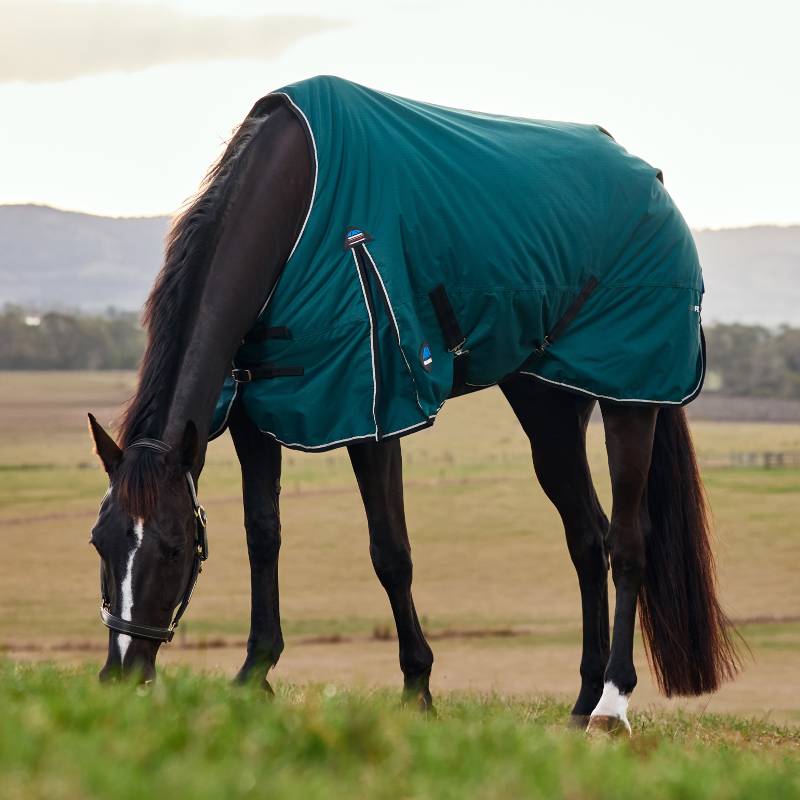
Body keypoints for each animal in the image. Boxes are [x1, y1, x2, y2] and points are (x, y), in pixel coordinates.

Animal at [88, 76, 739, 735]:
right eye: (100, 541)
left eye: (173, 547)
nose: (122, 676)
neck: (295, 202)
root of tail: (650, 178)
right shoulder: (255, 412)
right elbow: (262, 535)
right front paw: (255, 672)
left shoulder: (373, 414)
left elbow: (390, 553)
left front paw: (418, 687)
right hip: (549, 405)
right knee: (587, 537)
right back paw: (580, 700)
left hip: (632, 396)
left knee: (627, 543)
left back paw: (611, 702)